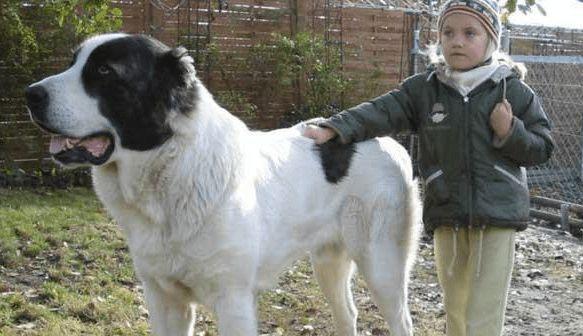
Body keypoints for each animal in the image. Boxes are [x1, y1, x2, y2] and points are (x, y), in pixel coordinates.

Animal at [26, 34, 420, 336]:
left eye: (105, 71)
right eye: (74, 62)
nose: (30, 94)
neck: (172, 165)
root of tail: (387, 140)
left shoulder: (233, 301)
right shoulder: (165, 299)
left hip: (382, 267)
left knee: (401, 320)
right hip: (328, 261)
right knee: (347, 315)